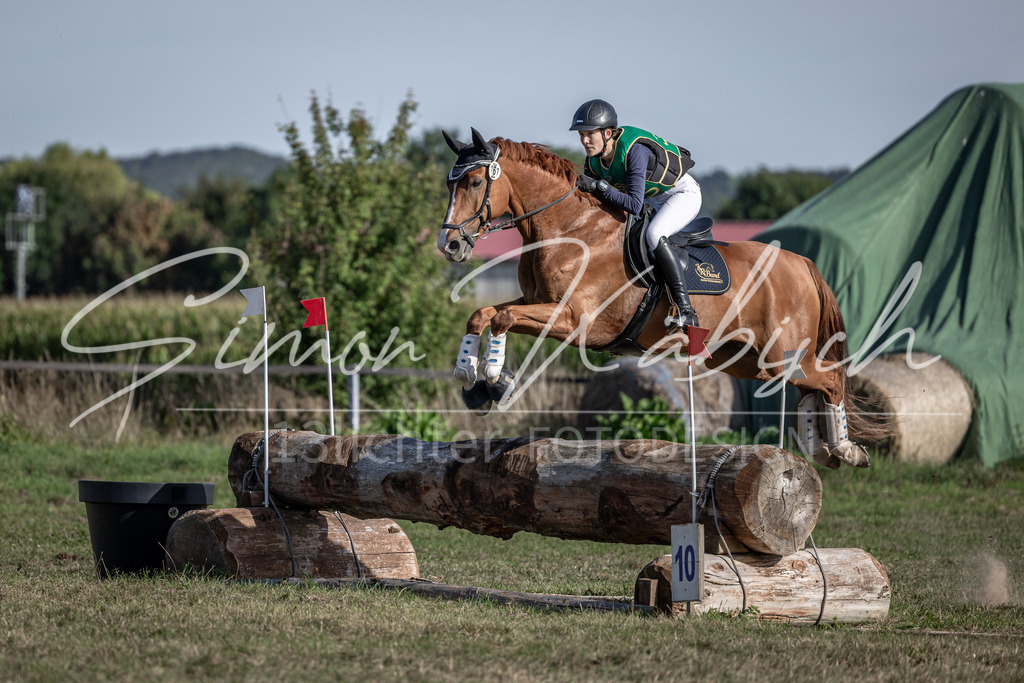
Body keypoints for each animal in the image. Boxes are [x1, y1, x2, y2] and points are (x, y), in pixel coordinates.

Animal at [436, 129, 891, 469]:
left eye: (475, 182)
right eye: (449, 183)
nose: (450, 246)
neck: (568, 228)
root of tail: (801, 264)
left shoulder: (574, 321)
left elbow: (501, 318)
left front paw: (495, 379)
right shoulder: (537, 302)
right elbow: (483, 313)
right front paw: (473, 381)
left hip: (783, 354)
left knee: (830, 380)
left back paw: (844, 449)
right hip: (746, 361)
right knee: (811, 387)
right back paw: (821, 448)